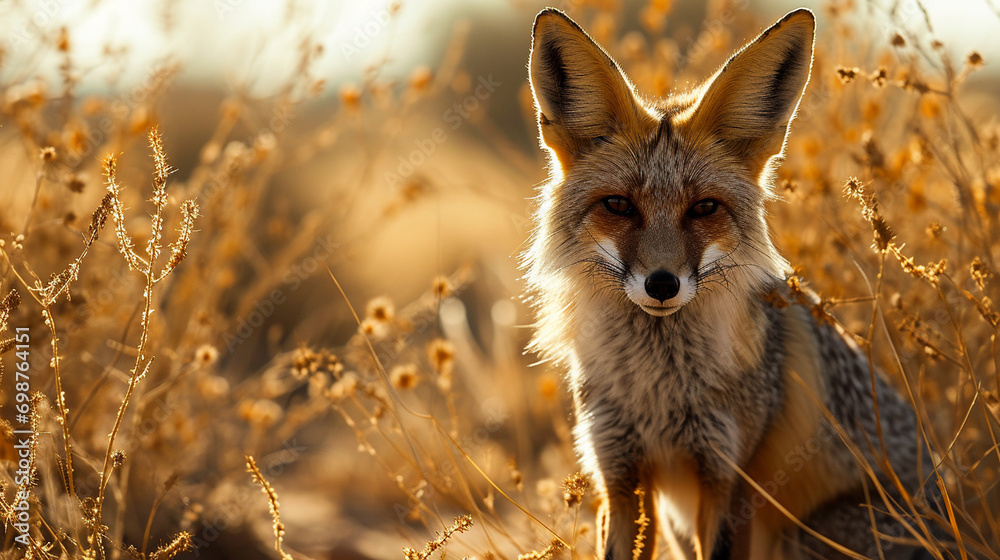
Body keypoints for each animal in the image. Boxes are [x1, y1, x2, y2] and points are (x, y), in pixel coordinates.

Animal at [523, 7, 945, 560]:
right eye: (618, 205)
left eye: (704, 208)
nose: (663, 284)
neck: (657, 392)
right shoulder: (618, 472)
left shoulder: (726, 474)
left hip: (798, 535)